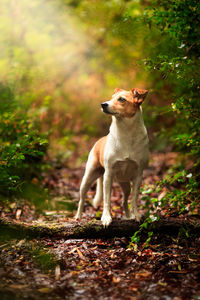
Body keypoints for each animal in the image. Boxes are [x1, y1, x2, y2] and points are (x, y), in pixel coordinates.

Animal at [76, 88, 149, 226]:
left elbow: (134, 199)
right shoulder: (108, 175)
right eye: (111, 98)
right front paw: (106, 217)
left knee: (124, 200)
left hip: (125, 185)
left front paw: (136, 215)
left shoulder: (138, 175)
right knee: (82, 199)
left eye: (121, 99)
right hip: (88, 178)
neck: (126, 133)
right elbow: (107, 200)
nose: (103, 104)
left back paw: (128, 216)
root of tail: (99, 141)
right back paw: (78, 216)